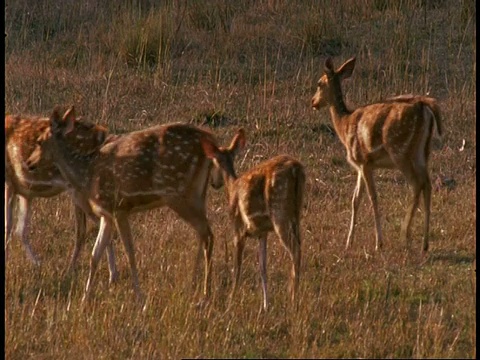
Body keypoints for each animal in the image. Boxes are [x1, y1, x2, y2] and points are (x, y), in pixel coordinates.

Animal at [5, 114, 119, 282]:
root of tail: (103, 134)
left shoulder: (8, 183)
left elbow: (8, 227)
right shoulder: (25, 192)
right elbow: (21, 230)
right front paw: (38, 264)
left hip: (80, 190)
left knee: (86, 230)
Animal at [28, 106, 223, 300]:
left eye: (39, 141)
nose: (29, 162)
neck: (87, 174)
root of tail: (212, 140)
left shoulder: (119, 207)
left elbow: (129, 252)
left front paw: (139, 296)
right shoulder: (107, 213)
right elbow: (95, 254)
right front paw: (85, 297)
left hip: (179, 193)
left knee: (207, 234)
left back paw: (205, 293)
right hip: (197, 193)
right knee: (202, 233)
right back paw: (194, 284)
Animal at [201, 130, 306, 312]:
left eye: (212, 162)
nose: (214, 183)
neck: (232, 187)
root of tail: (296, 169)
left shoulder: (238, 228)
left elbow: (237, 267)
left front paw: (231, 300)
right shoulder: (262, 232)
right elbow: (263, 267)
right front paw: (266, 305)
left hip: (280, 212)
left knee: (295, 250)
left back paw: (294, 300)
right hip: (296, 214)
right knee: (299, 245)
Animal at [312, 57, 442, 253]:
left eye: (319, 83)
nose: (313, 102)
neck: (344, 125)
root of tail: (424, 108)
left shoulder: (365, 161)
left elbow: (373, 197)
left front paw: (378, 243)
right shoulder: (360, 165)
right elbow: (355, 199)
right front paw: (349, 242)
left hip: (400, 150)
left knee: (416, 184)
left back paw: (405, 235)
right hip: (422, 151)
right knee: (427, 183)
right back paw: (424, 243)